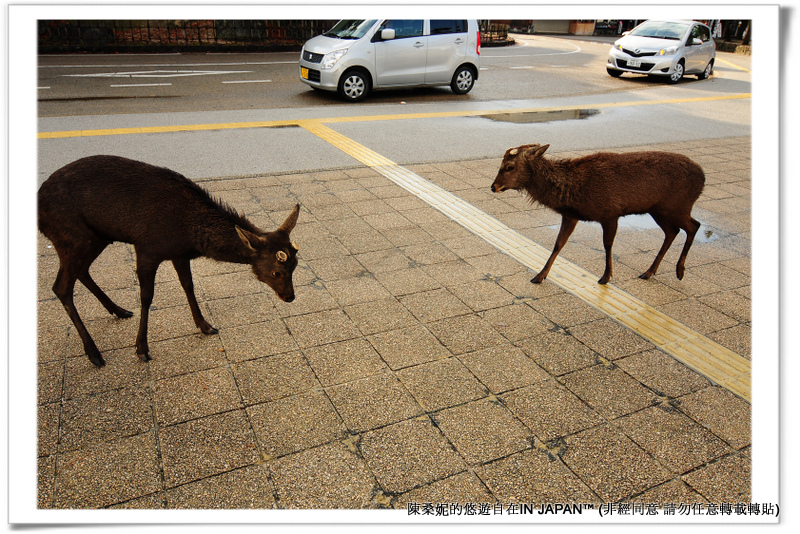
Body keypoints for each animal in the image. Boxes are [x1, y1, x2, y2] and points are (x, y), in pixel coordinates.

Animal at [38, 155, 300, 368]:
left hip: (97, 237)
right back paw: (94, 353)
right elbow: (146, 297)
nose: (290, 297)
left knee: (81, 271)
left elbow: (188, 286)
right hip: (72, 236)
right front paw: (141, 348)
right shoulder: (146, 248)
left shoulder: (178, 253)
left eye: (295, 265)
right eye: (276, 272)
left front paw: (205, 325)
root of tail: (39, 210)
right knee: (61, 287)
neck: (188, 233)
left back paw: (118, 310)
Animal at [490, 142, 704, 284]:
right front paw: (539, 276)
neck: (573, 192)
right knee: (673, 231)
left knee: (694, 226)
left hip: (677, 206)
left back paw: (680, 270)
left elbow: (607, 244)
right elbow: (558, 244)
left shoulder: (610, 212)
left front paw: (606, 276)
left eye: (509, 167)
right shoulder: (571, 215)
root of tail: (703, 177)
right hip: (659, 210)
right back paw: (649, 271)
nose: (493, 186)